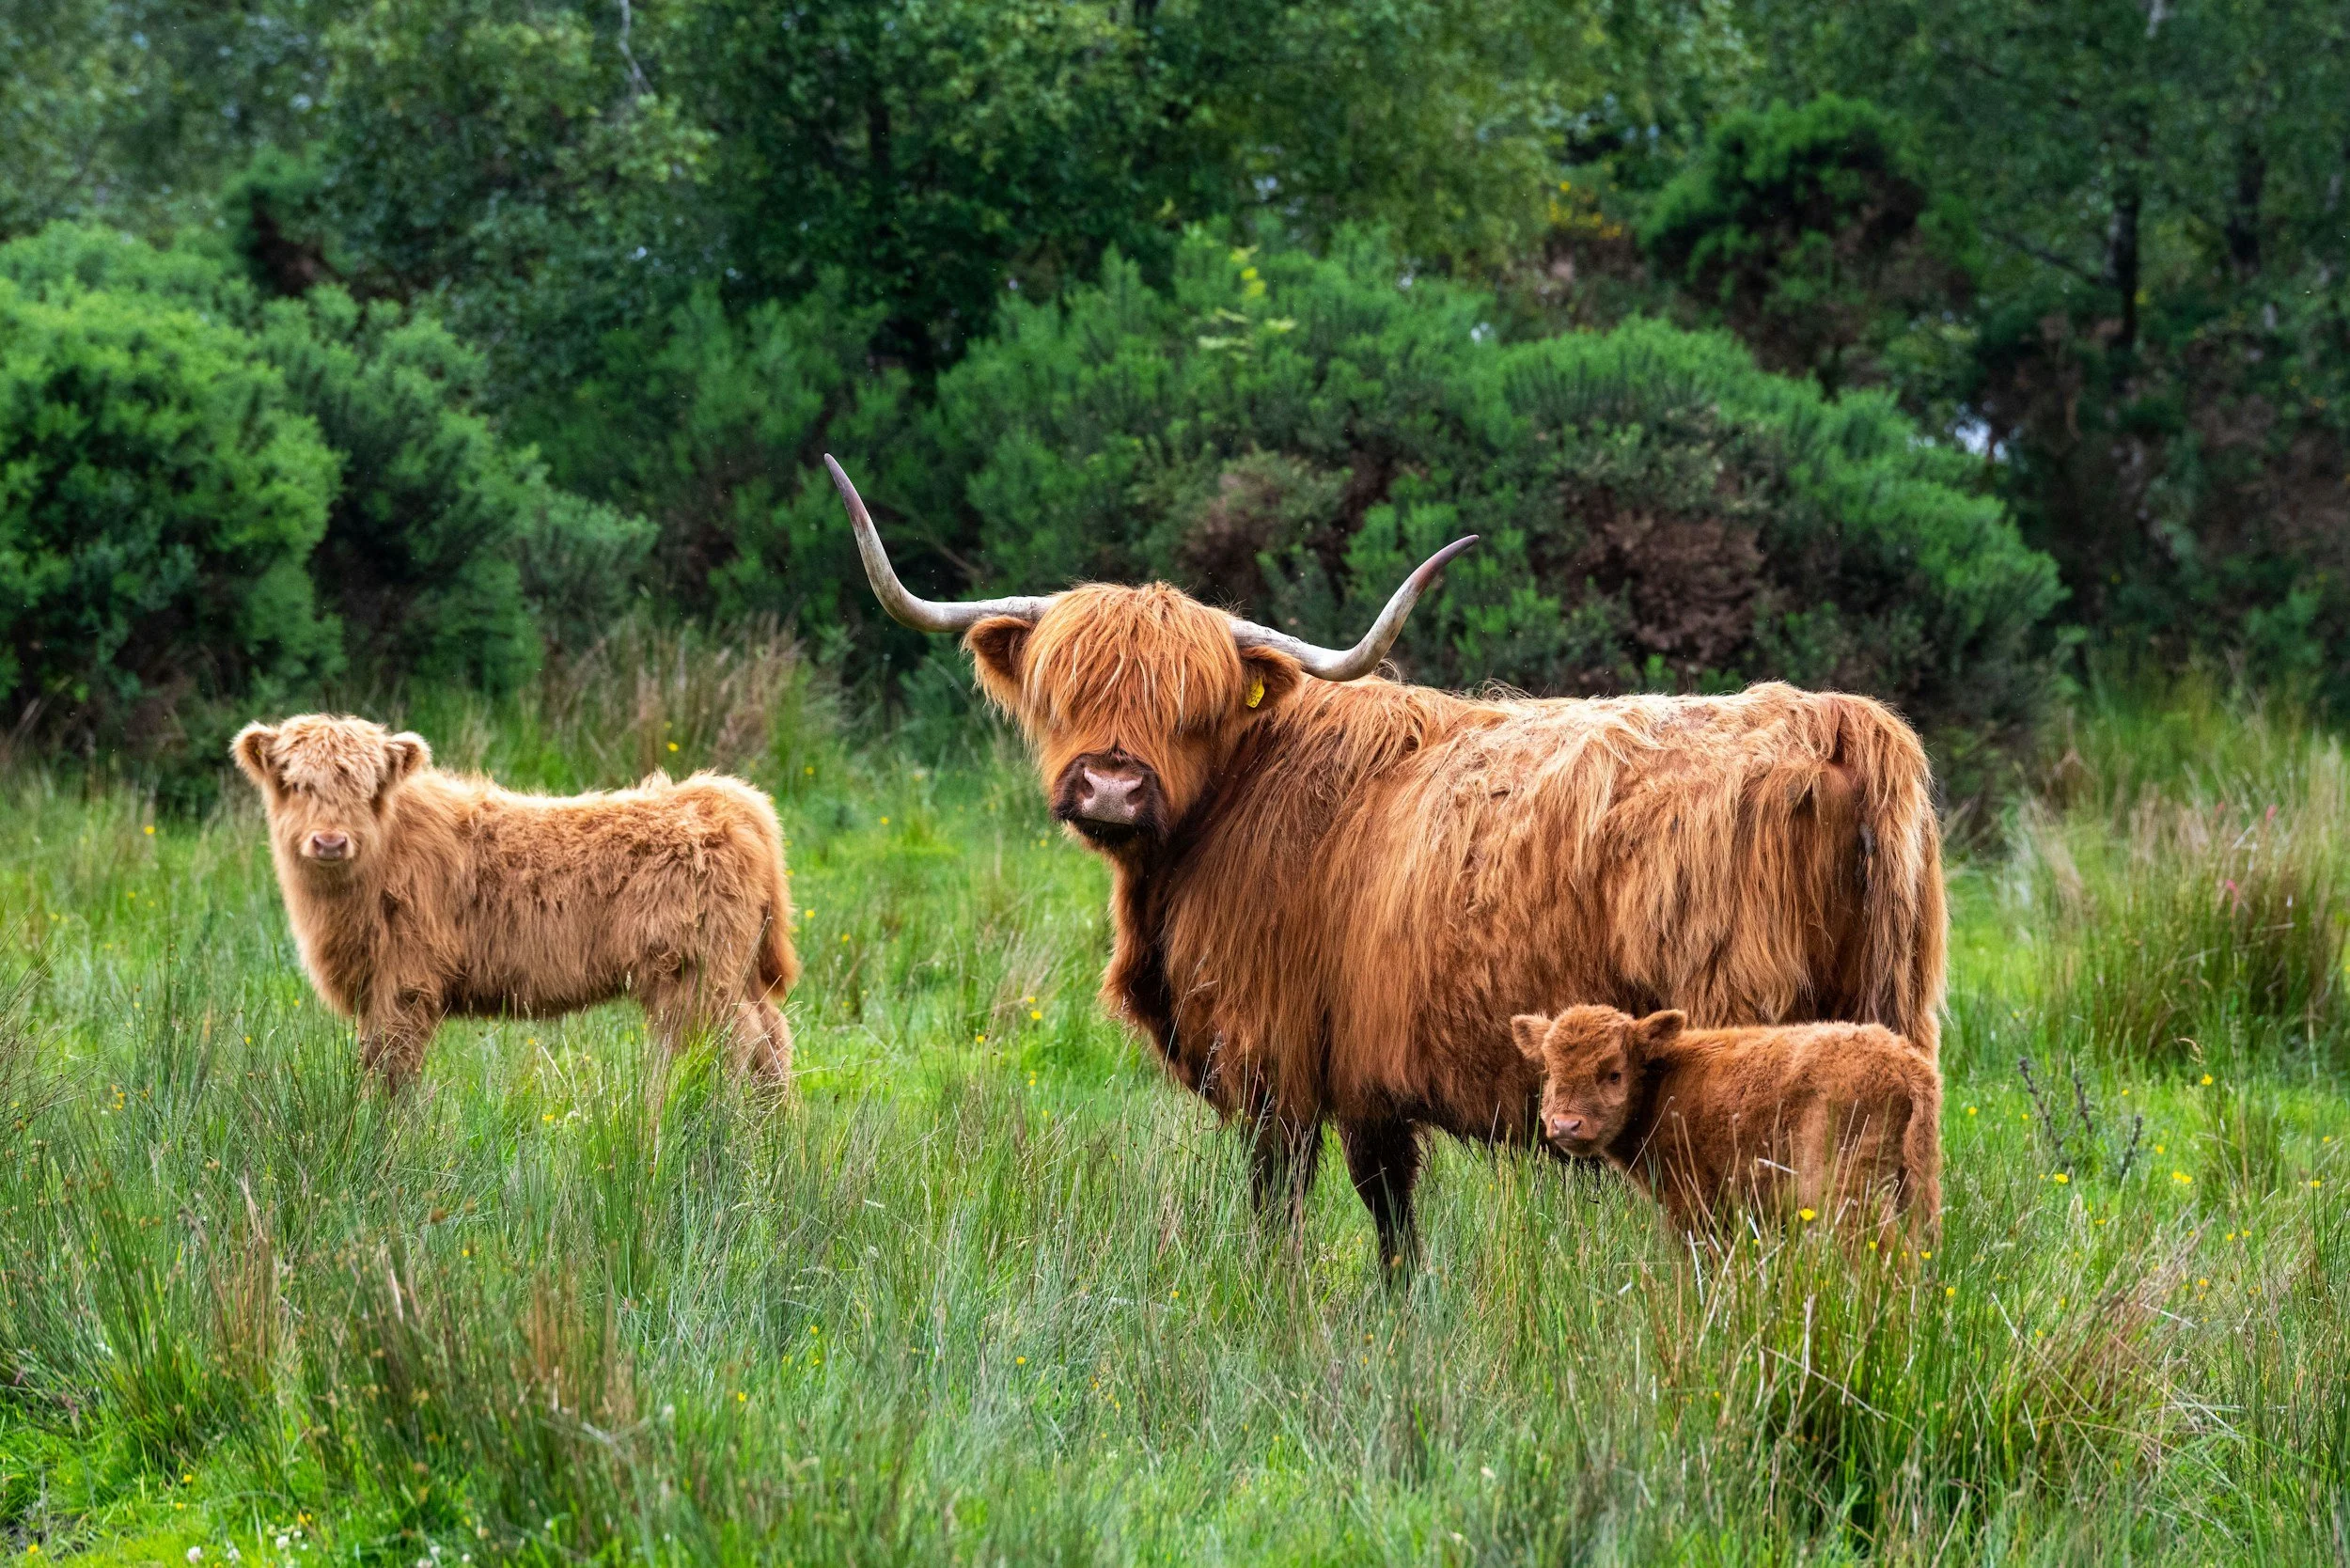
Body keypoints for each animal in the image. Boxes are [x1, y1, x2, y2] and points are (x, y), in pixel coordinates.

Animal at [234, 714, 798, 1092]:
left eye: (368, 788)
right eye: (294, 784)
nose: (330, 841)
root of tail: (721, 797)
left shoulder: (405, 985)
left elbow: (391, 1070)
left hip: (696, 975)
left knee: (736, 1046)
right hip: (735, 971)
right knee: (772, 1040)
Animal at [1513, 1004, 1942, 1242]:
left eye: (1614, 1074)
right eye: (1550, 1071)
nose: (1566, 1124)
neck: (1664, 1079)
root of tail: (1903, 1060)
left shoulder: (1691, 1203)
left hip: (1843, 1187)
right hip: (1912, 1182)